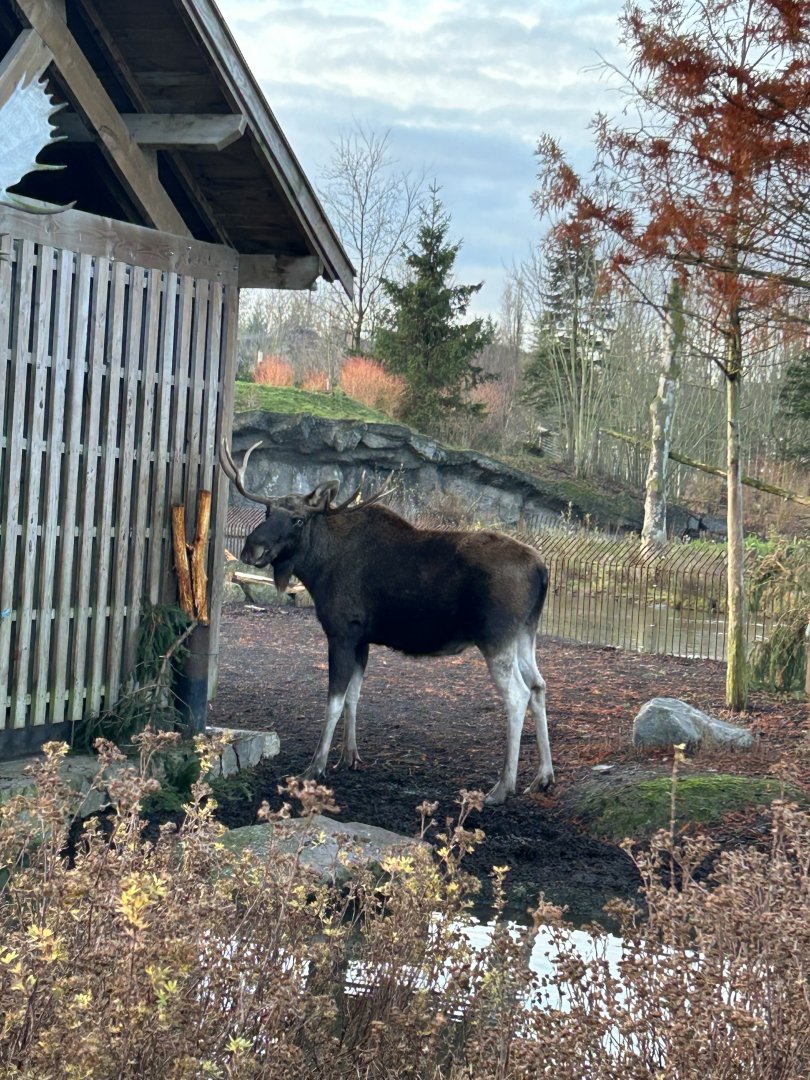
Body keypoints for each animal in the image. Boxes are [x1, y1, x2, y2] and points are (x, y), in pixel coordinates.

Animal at [221, 441, 553, 805]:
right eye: (267, 512)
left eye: (297, 520)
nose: (252, 549)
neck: (316, 567)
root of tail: (542, 570)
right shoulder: (362, 638)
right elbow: (353, 696)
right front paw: (349, 757)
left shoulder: (341, 631)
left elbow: (334, 701)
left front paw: (315, 766)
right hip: (525, 634)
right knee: (538, 685)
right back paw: (543, 777)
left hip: (496, 637)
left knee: (518, 695)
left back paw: (503, 786)